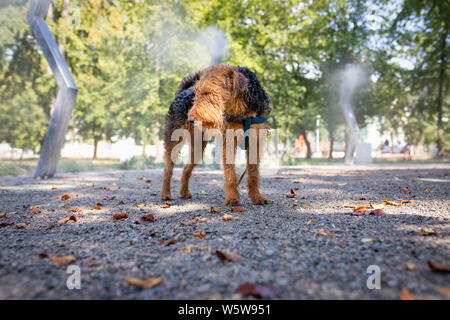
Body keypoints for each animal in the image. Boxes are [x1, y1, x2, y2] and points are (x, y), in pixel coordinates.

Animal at [159, 64, 270, 205]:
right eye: (197, 93)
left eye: (208, 92)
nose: (190, 119)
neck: (243, 114)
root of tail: (181, 93)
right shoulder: (228, 141)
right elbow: (230, 175)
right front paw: (232, 198)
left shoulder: (255, 141)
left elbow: (253, 174)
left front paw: (257, 197)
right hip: (174, 142)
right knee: (168, 169)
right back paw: (165, 194)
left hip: (198, 149)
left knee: (186, 169)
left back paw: (184, 192)